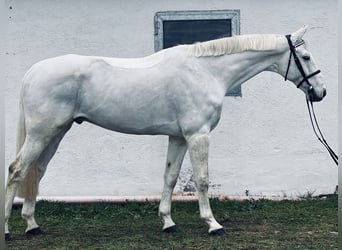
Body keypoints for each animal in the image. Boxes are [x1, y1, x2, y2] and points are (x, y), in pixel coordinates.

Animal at [4, 24, 326, 239]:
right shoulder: (198, 134)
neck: (206, 71)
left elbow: (170, 177)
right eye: (306, 57)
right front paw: (213, 224)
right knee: (17, 170)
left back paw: (32, 226)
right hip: (41, 133)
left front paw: (168, 222)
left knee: (37, 171)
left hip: (55, 133)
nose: (320, 92)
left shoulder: (179, 137)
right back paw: (7, 229)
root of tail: (33, 71)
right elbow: (202, 180)